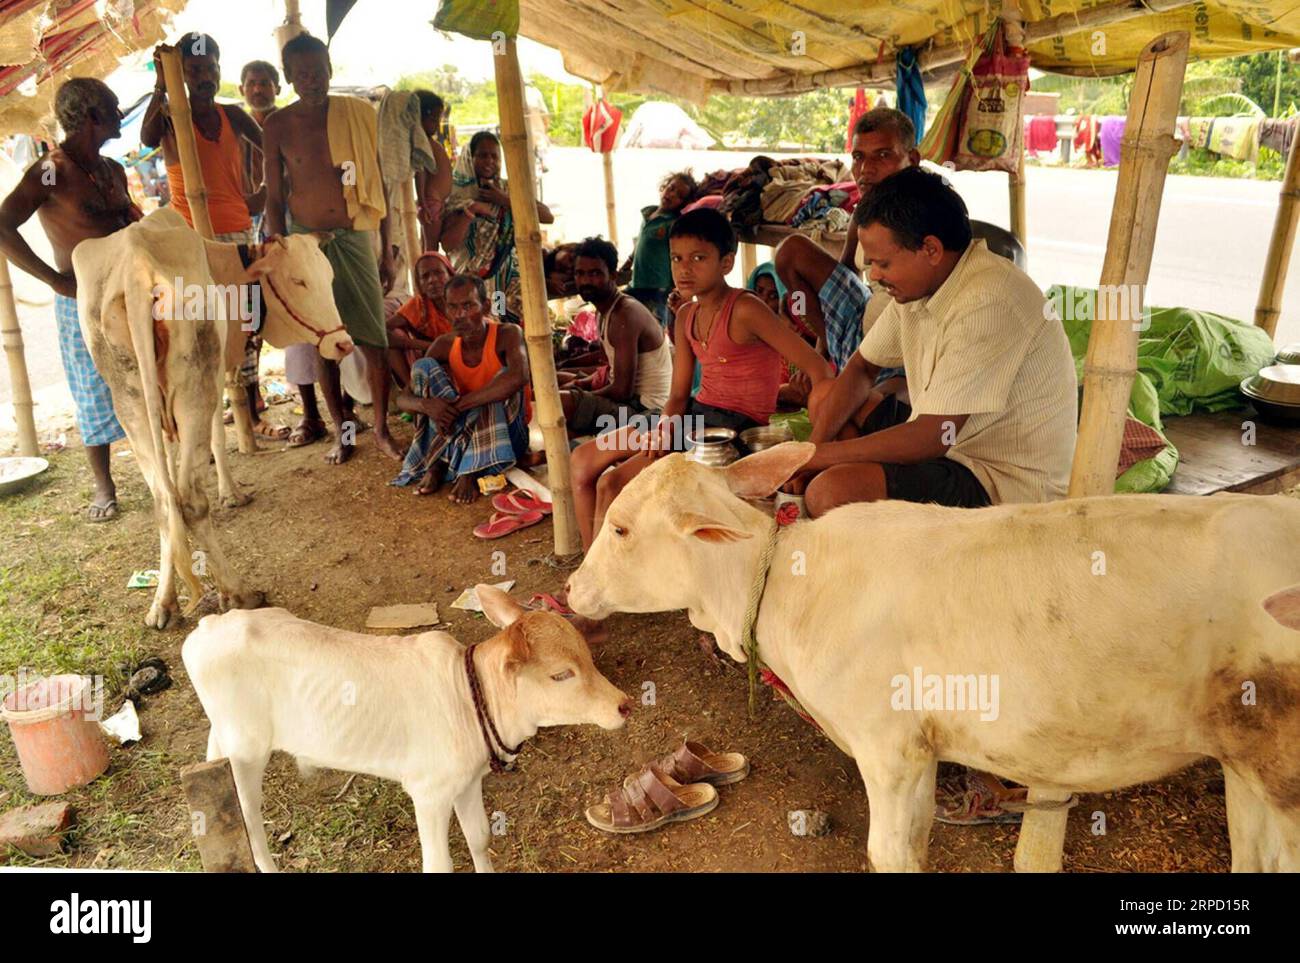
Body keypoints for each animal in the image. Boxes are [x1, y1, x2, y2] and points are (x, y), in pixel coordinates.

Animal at [182, 584, 629, 873]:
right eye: (560, 674)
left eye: (587, 655)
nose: (623, 704)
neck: (472, 698)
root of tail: (208, 626)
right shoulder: (429, 793)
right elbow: (439, 863)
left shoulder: (467, 781)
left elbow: (480, 837)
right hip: (247, 749)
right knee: (247, 817)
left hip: (223, 739)